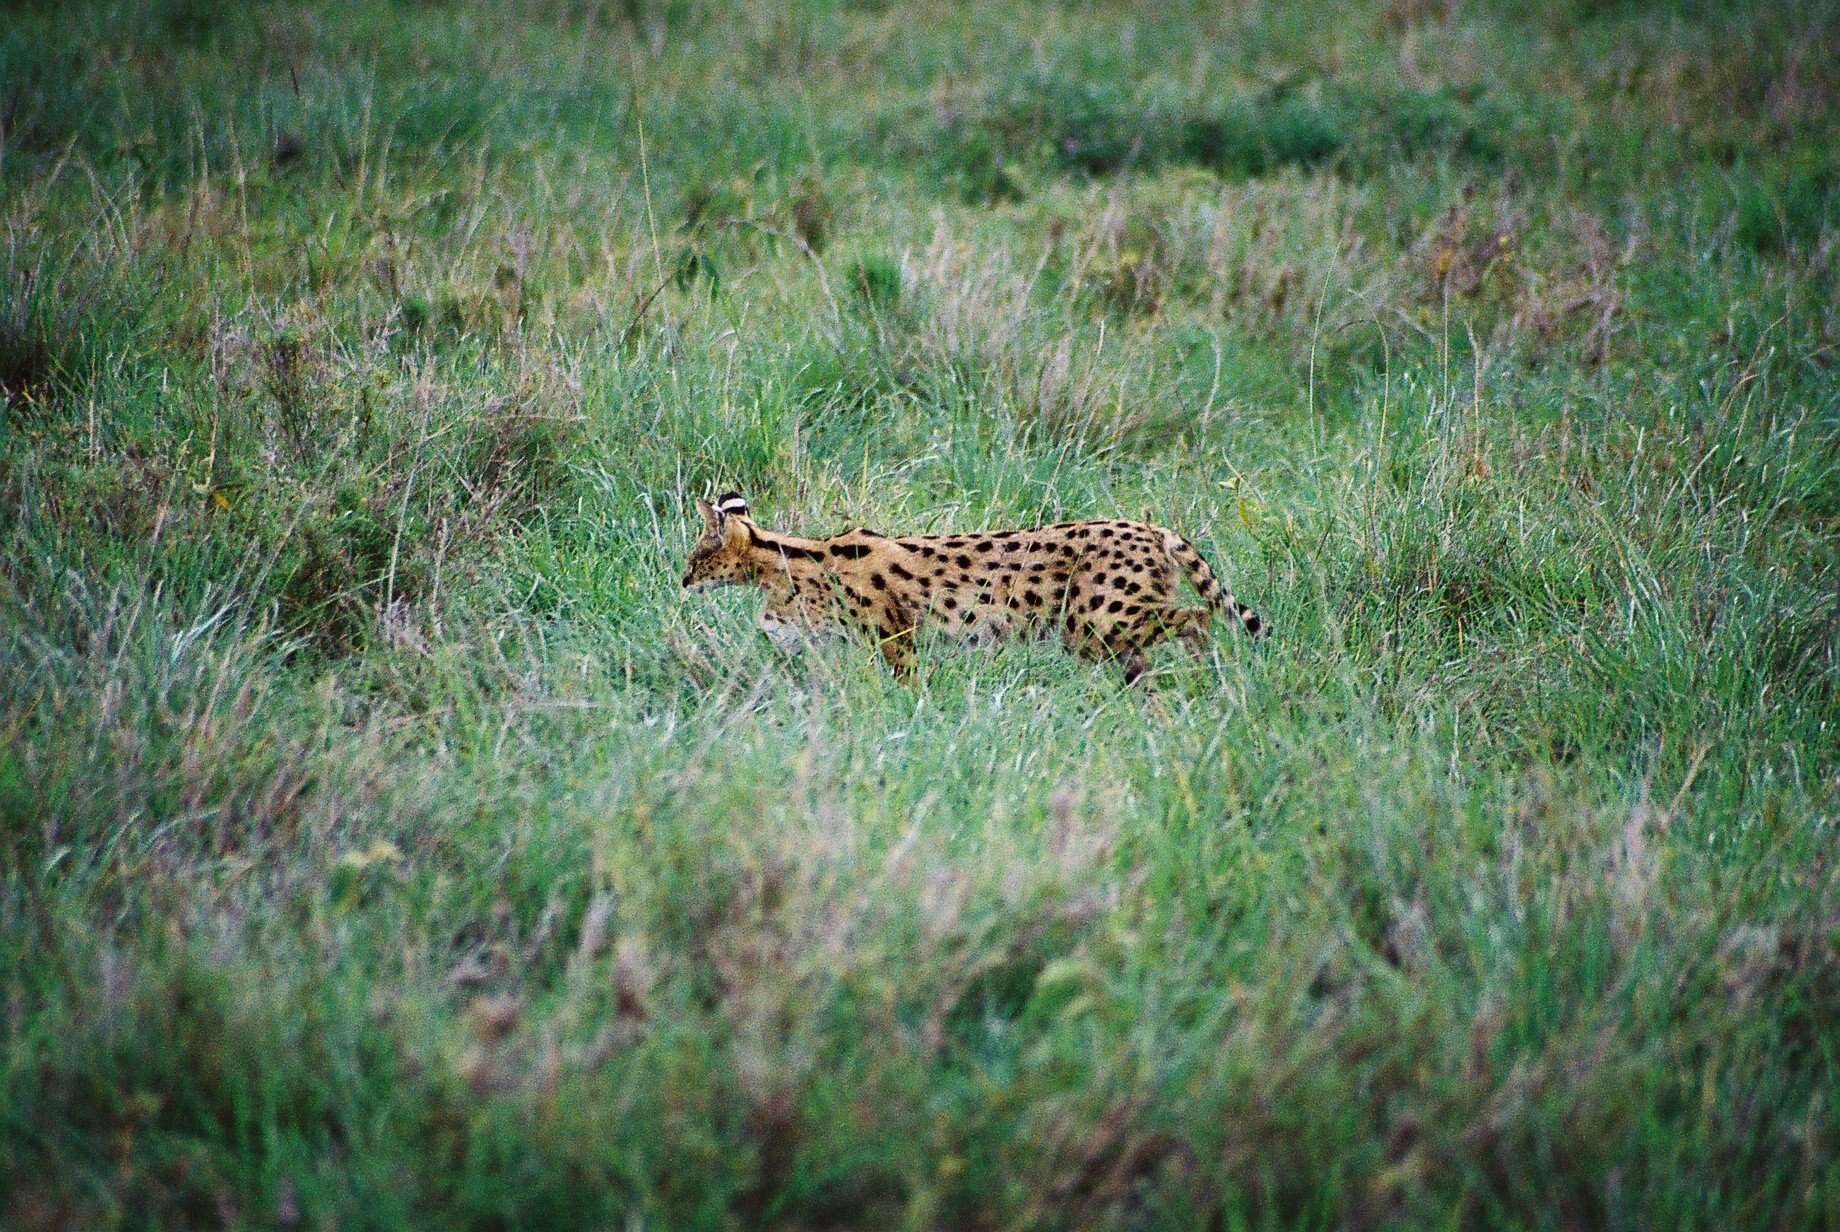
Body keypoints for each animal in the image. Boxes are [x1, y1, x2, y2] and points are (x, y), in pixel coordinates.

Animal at [677, 492, 1265, 684]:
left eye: (696, 556)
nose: (680, 580)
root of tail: (1153, 528)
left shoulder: (895, 634)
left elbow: (906, 685)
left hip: (1097, 622)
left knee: (1199, 617)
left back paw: (1207, 672)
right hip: (1099, 632)